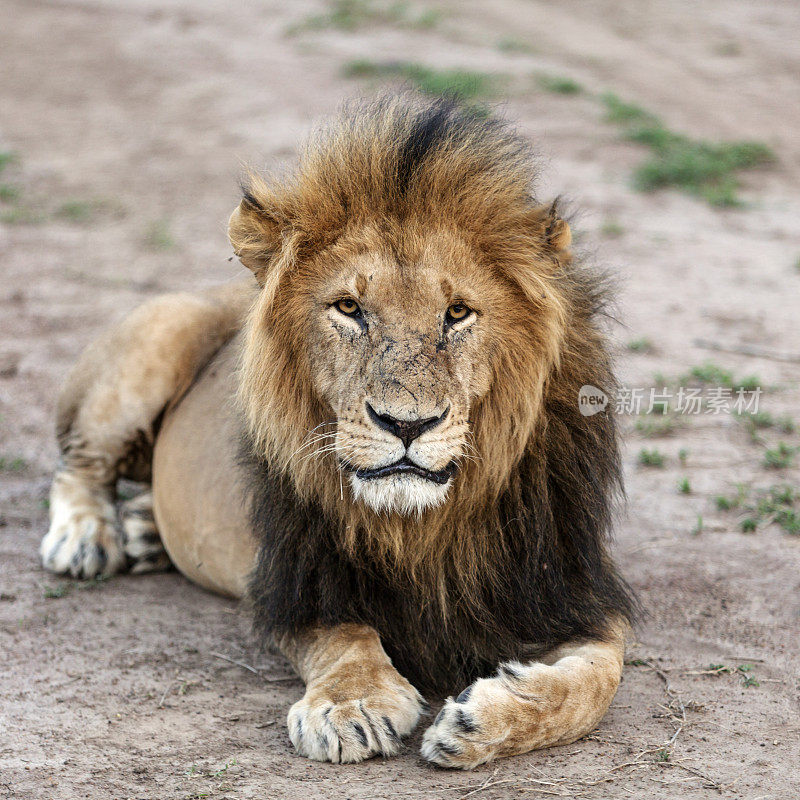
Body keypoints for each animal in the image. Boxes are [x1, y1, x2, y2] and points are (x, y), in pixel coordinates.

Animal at [39, 92, 636, 768]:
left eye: (457, 312)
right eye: (349, 308)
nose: (408, 423)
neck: (422, 528)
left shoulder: (571, 587)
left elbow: (597, 681)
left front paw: (483, 721)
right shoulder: (298, 584)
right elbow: (346, 635)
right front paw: (351, 707)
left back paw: (142, 530)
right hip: (159, 334)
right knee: (78, 464)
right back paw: (87, 538)